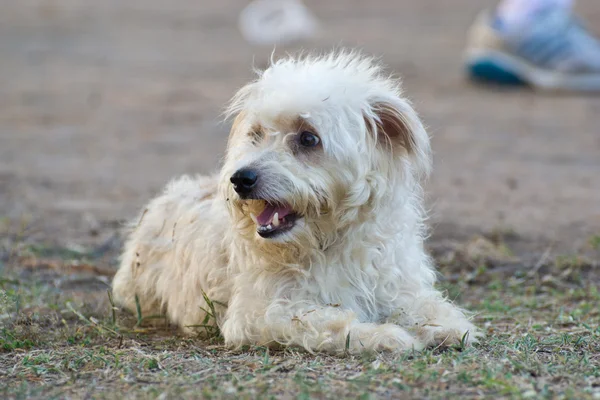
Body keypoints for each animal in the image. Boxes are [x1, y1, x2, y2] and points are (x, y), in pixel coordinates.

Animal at [111, 50, 478, 354]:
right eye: (256, 134)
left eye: (308, 138)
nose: (240, 179)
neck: (330, 242)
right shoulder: (261, 313)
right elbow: (332, 322)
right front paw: (383, 335)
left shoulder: (396, 283)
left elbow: (428, 305)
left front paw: (445, 326)